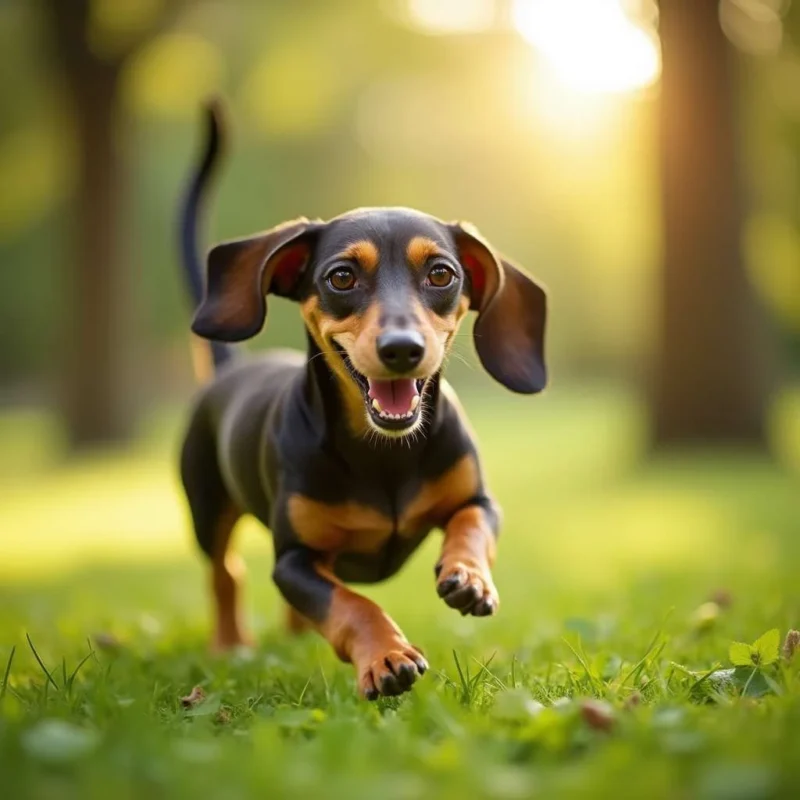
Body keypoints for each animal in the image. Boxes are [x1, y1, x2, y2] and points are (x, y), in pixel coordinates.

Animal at [177, 101, 548, 700]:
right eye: (342, 276)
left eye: (441, 273)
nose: (402, 349)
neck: (384, 454)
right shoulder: (294, 560)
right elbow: (349, 603)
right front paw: (386, 656)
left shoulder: (480, 500)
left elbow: (471, 525)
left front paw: (468, 576)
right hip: (207, 510)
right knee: (225, 573)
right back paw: (231, 645)